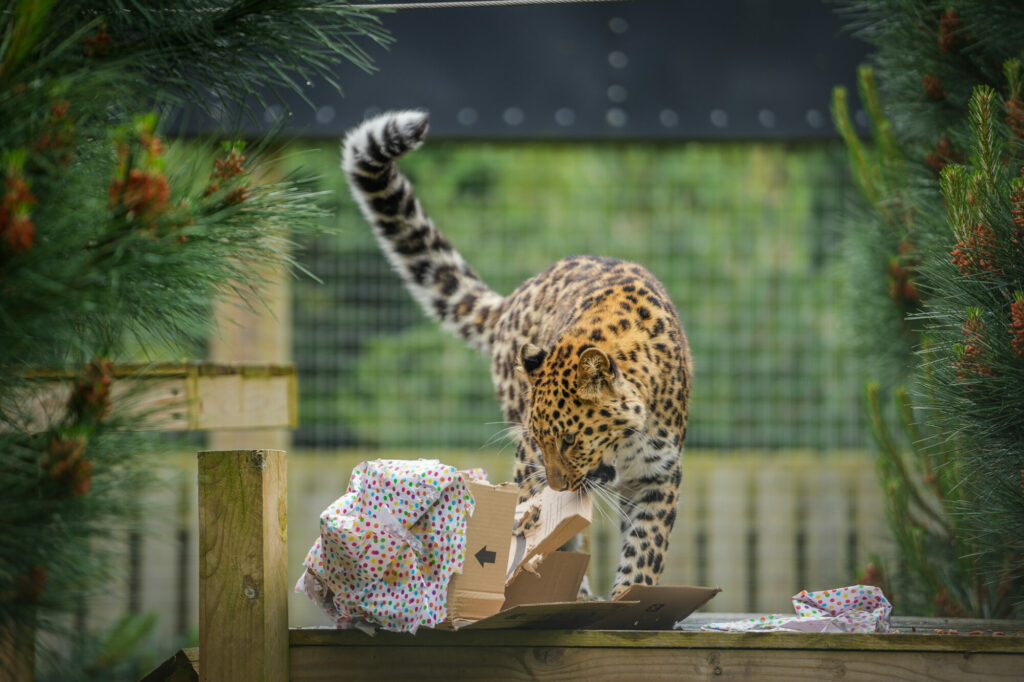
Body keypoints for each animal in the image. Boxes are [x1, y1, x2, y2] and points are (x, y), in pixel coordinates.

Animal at [342, 110, 692, 599]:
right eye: (544, 441)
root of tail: (512, 300)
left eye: (571, 440)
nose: (559, 485)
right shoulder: (532, 461)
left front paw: (628, 596)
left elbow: (645, 551)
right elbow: (546, 533)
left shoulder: (660, 477)